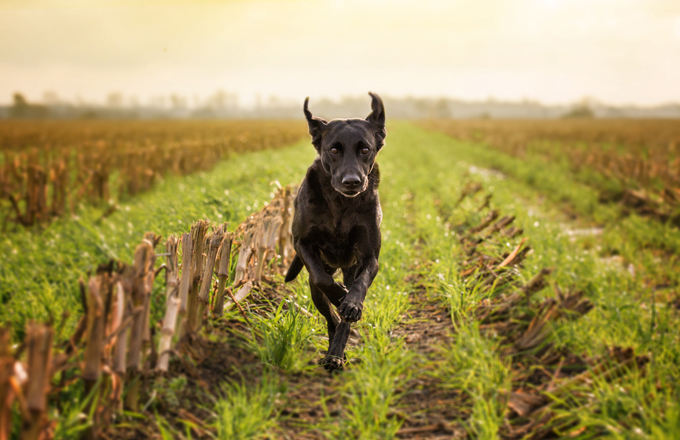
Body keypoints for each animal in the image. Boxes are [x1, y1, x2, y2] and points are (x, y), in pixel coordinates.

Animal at [282, 93, 388, 372]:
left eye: (365, 149)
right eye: (333, 150)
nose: (352, 181)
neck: (340, 204)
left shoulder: (369, 258)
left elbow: (360, 285)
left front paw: (350, 302)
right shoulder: (302, 243)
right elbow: (323, 280)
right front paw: (340, 295)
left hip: (351, 269)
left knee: (344, 318)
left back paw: (336, 353)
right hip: (314, 286)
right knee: (330, 316)